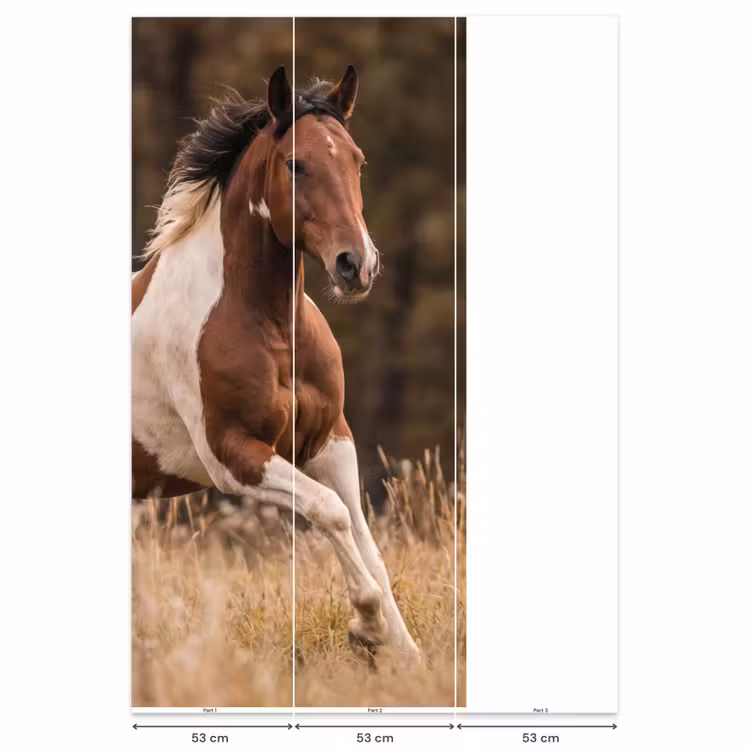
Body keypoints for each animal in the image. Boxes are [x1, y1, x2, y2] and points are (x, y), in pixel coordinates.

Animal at [132, 65, 420, 661]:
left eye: (356, 159)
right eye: (295, 164)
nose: (356, 265)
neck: (268, 323)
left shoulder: (330, 440)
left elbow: (367, 543)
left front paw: (407, 655)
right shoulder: (233, 456)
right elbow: (329, 511)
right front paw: (366, 627)